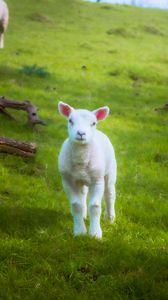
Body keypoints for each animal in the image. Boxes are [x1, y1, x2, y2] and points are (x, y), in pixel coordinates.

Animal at [57, 102, 117, 238]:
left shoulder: (97, 180)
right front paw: (80, 231)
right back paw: (84, 216)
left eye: (93, 123)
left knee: (109, 194)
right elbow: (76, 205)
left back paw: (110, 218)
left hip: (110, 172)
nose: (81, 133)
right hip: (81, 179)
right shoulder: (67, 180)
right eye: (70, 120)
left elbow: (95, 206)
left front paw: (95, 233)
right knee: (83, 195)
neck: (81, 161)